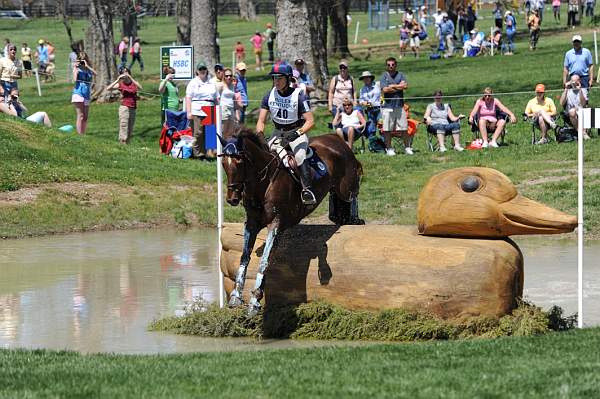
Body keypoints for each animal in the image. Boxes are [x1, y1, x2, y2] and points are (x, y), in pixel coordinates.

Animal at [218, 128, 364, 316]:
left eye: (239, 161)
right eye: (223, 163)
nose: (232, 199)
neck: (263, 183)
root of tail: (335, 137)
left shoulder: (276, 224)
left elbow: (264, 261)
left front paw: (254, 301)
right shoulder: (251, 223)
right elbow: (244, 256)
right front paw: (236, 296)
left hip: (346, 186)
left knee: (354, 191)